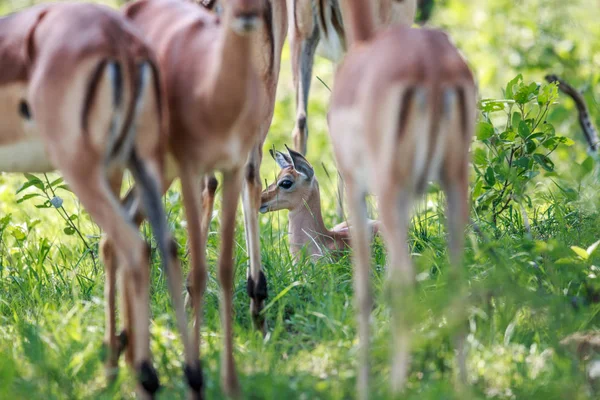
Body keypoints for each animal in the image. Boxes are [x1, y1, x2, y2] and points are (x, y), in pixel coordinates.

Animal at [0, 2, 188, 396]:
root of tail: (123, 42)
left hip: (83, 169)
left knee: (134, 247)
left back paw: (144, 377)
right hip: (133, 164)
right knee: (157, 245)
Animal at [330, 0, 476, 396]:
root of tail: (432, 65)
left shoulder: (356, 189)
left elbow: (364, 289)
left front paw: (364, 388)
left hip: (389, 190)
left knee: (404, 280)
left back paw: (398, 386)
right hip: (455, 182)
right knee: (457, 275)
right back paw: (460, 385)